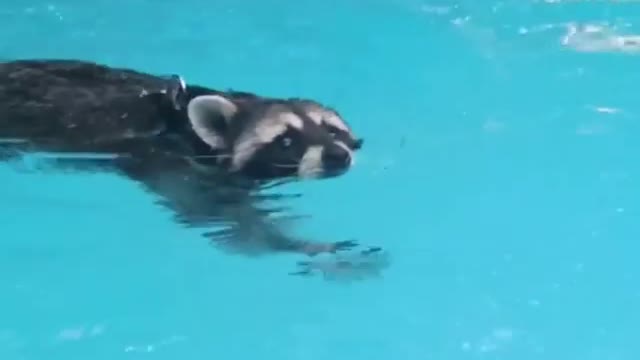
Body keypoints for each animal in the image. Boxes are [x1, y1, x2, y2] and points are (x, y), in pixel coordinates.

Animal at [0, 59, 370, 262]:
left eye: (331, 131)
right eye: (286, 142)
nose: (337, 156)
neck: (181, 120)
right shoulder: (169, 160)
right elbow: (214, 213)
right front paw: (290, 243)